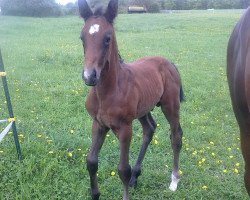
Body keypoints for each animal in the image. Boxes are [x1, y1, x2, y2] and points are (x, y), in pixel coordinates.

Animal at [79, 0, 185, 198]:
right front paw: (95, 194)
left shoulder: (125, 128)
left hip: (170, 105)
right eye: (82, 38)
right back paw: (136, 175)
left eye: (107, 38)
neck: (107, 92)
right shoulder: (98, 124)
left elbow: (123, 170)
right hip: (144, 109)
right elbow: (91, 162)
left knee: (176, 136)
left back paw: (174, 180)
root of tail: (169, 62)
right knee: (149, 129)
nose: (90, 76)